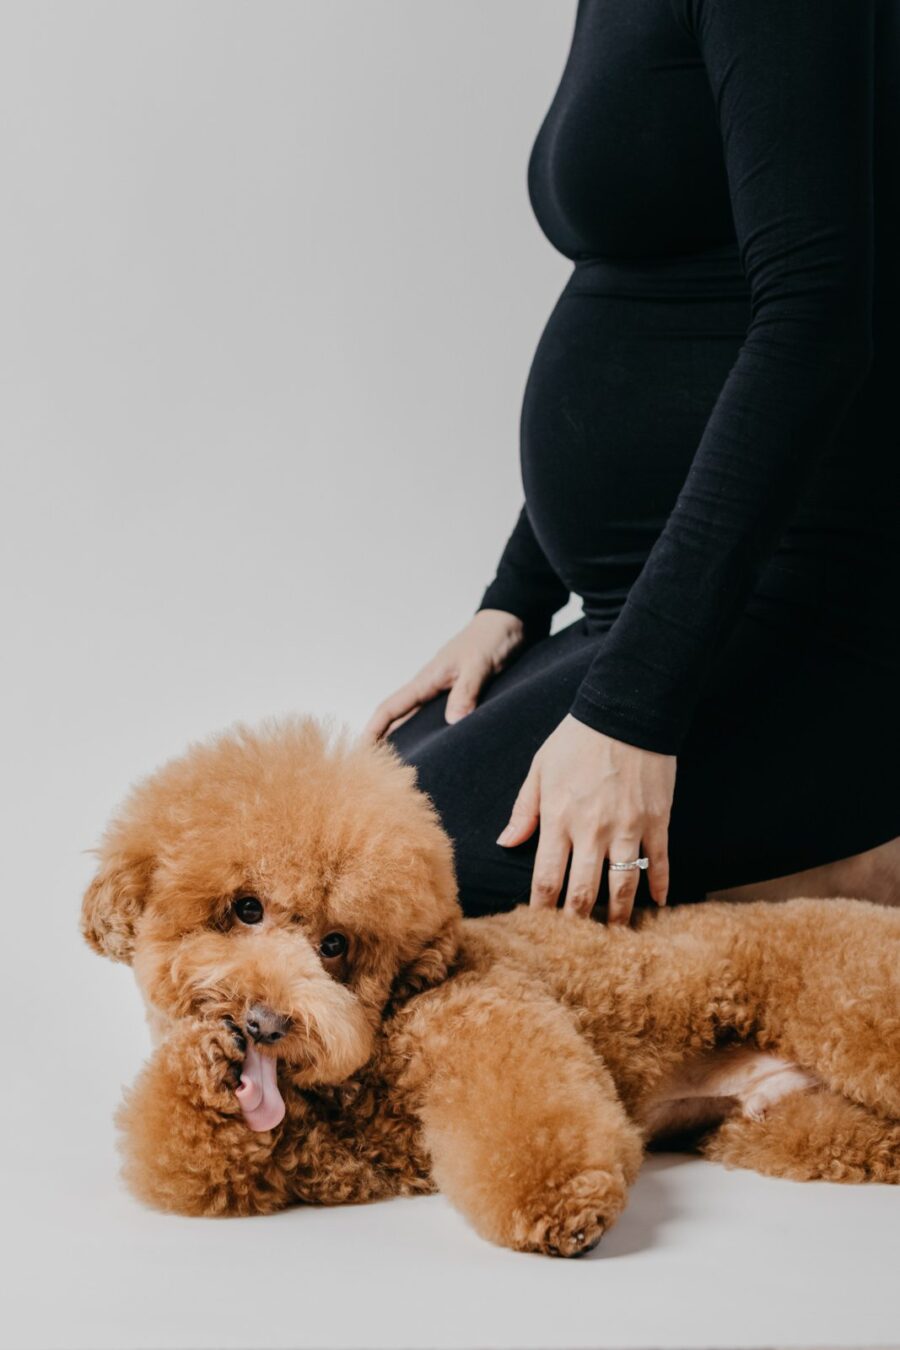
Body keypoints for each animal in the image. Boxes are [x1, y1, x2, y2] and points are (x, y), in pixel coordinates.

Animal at [82, 718, 900, 1252]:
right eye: (246, 909)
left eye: (336, 945)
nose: (264, 1023)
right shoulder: (309, 1166)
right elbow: (196, 1163)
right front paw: (205, 1069)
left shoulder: (485, 1016)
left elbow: (529, 1117)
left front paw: (566, 1208)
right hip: (782, 1127)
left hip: (854, 1015)